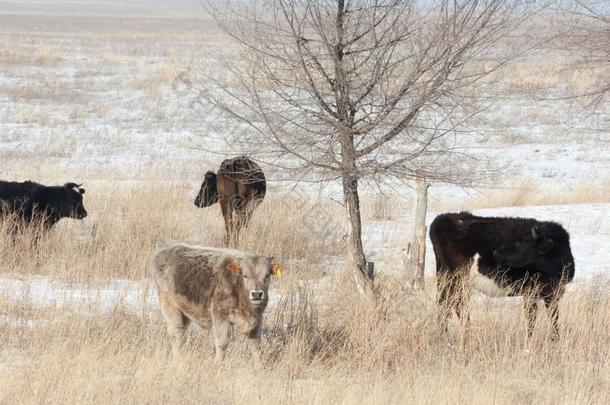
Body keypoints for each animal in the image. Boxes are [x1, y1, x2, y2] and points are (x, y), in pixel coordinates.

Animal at [430, 211, 572, 338]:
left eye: (522, 243)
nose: (496, 252)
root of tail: (444, 217)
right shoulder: (531, 292)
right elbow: (532, 320)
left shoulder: (553, 294)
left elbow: (554, 318)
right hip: (457, 280)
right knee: (456, 305)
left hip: (446, 279)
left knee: (446, 304)